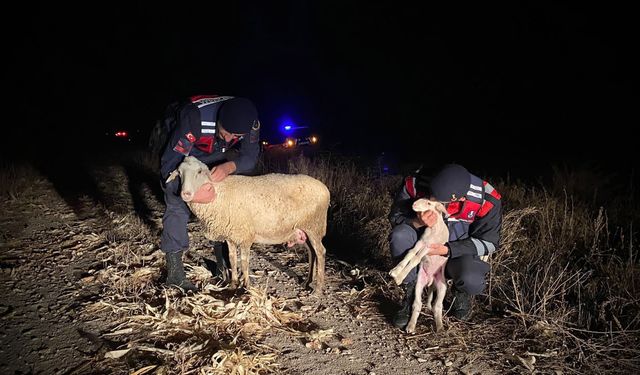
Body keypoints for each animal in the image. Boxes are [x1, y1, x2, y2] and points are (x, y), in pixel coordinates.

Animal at [166, 156, 330, 294]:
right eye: (179, 173)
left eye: (199, 172)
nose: (185, 194)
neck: (219, 193)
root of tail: (325, 189)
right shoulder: (230, 236)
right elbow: (232, 259)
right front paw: (233, 284)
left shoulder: (245, 235)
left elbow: (244, 262)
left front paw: (246, 286)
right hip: (304, 229)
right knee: (312, 253)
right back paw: (307, 282)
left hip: (315, 226)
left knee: (320, 252)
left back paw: (318, 289)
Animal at [388, 198, 448, 334]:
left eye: (429, 203)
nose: (414, 204)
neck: (433, 228)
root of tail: (431, 279)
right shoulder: (421, 242)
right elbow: (410, 254)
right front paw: (396, 272)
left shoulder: (429, 247)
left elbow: (416, 259)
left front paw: (399, 276)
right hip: (419, 282)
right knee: (417, 304)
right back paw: (410, 326)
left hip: (442, 286)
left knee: (437, 306)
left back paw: (440, 327)